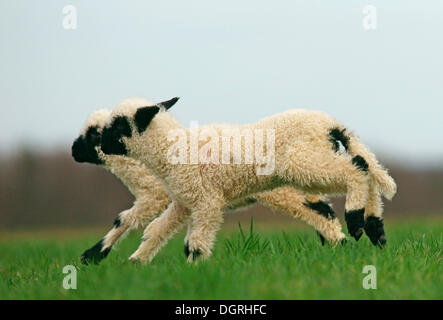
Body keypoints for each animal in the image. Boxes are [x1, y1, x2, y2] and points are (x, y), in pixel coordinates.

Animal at [100, 97, 398, 262]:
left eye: (118, 125)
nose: (101, 145)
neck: (171, 148)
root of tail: (330, 124)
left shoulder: (206, 202)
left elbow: (195, 244)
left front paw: (195, 271)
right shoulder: (185, 202)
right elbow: (156, 231)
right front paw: (136, 262)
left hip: (303, 162)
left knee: (355, 169)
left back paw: (356, 218)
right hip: (313, 160)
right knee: (364, 165)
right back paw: (374, 228)